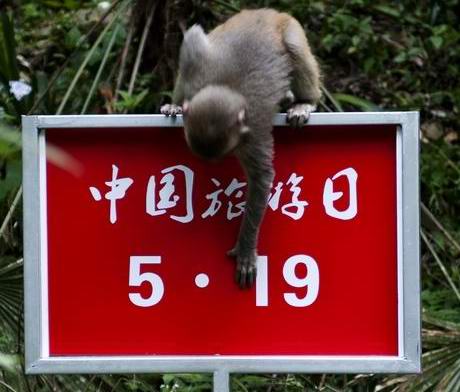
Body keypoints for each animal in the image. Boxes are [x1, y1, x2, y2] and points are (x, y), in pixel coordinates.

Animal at [164, 8, 322, 288]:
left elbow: (261, 178)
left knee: (294, 47)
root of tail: (270, 12)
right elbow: (192, 42)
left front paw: (246, 248)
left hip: (292, 28)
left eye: (229, 151)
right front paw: (174, 105)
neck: (228, 89)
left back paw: (304, 102)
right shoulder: (194, 76)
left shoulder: (254, 132)